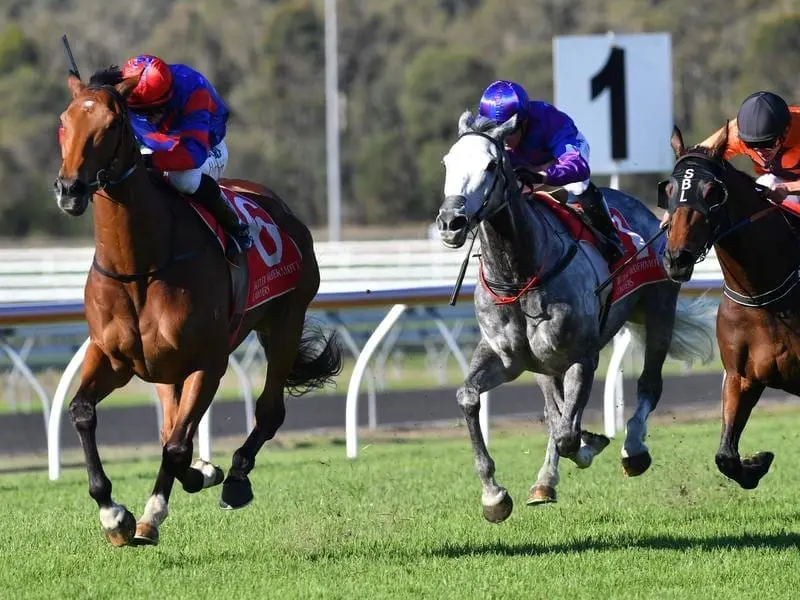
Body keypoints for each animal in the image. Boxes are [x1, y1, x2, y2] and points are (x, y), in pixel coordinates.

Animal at [54, 68, 342, 548]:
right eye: (64, 121)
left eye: (112, 125)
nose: (70, 188)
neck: (141, 266)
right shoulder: (112, 356)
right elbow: (83, 413)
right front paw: (113, 514)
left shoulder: (209, 362)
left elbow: (176, 446)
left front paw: (152, 512)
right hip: (165, 367)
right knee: (172, 423)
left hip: (285, 320)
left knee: (268, 412)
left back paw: (236, 477)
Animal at [438, 111, 720, 520]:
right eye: (447, 162)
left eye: (491, 165)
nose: (451, 222)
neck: (519, 274)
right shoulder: (506, 356)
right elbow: (470, 397)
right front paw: (493, 495)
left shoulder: (582, 357)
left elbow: (567, 434)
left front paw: (590, 444)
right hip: (544, 362)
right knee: (553, 407)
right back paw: (545, 480)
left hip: (660, 310)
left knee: (649, 384)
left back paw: (633, 449)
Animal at [660, 124, 796, 490]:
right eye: (669, 189)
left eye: (712, 192)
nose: (677, 259)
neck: (764, 297)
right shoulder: (741, 376)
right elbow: (725, 456)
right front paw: (757, 463)